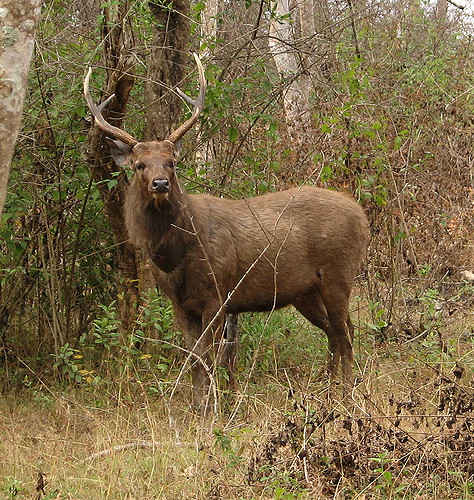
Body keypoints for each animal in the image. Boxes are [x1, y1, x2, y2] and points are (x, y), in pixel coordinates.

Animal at [84, 53, 369, 413]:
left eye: (171, 162)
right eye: (139, 165)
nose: (160, 184)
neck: (176, 254)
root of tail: (362, 216)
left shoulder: (217, 295)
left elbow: (209, 358)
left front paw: (212, 410)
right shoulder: (180, 304)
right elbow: (194, 358)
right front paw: (198, 408)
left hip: (339, 273)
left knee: (345, 333)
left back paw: (346, 395)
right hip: (305, 292)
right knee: (336, 331)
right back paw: (330, 392)